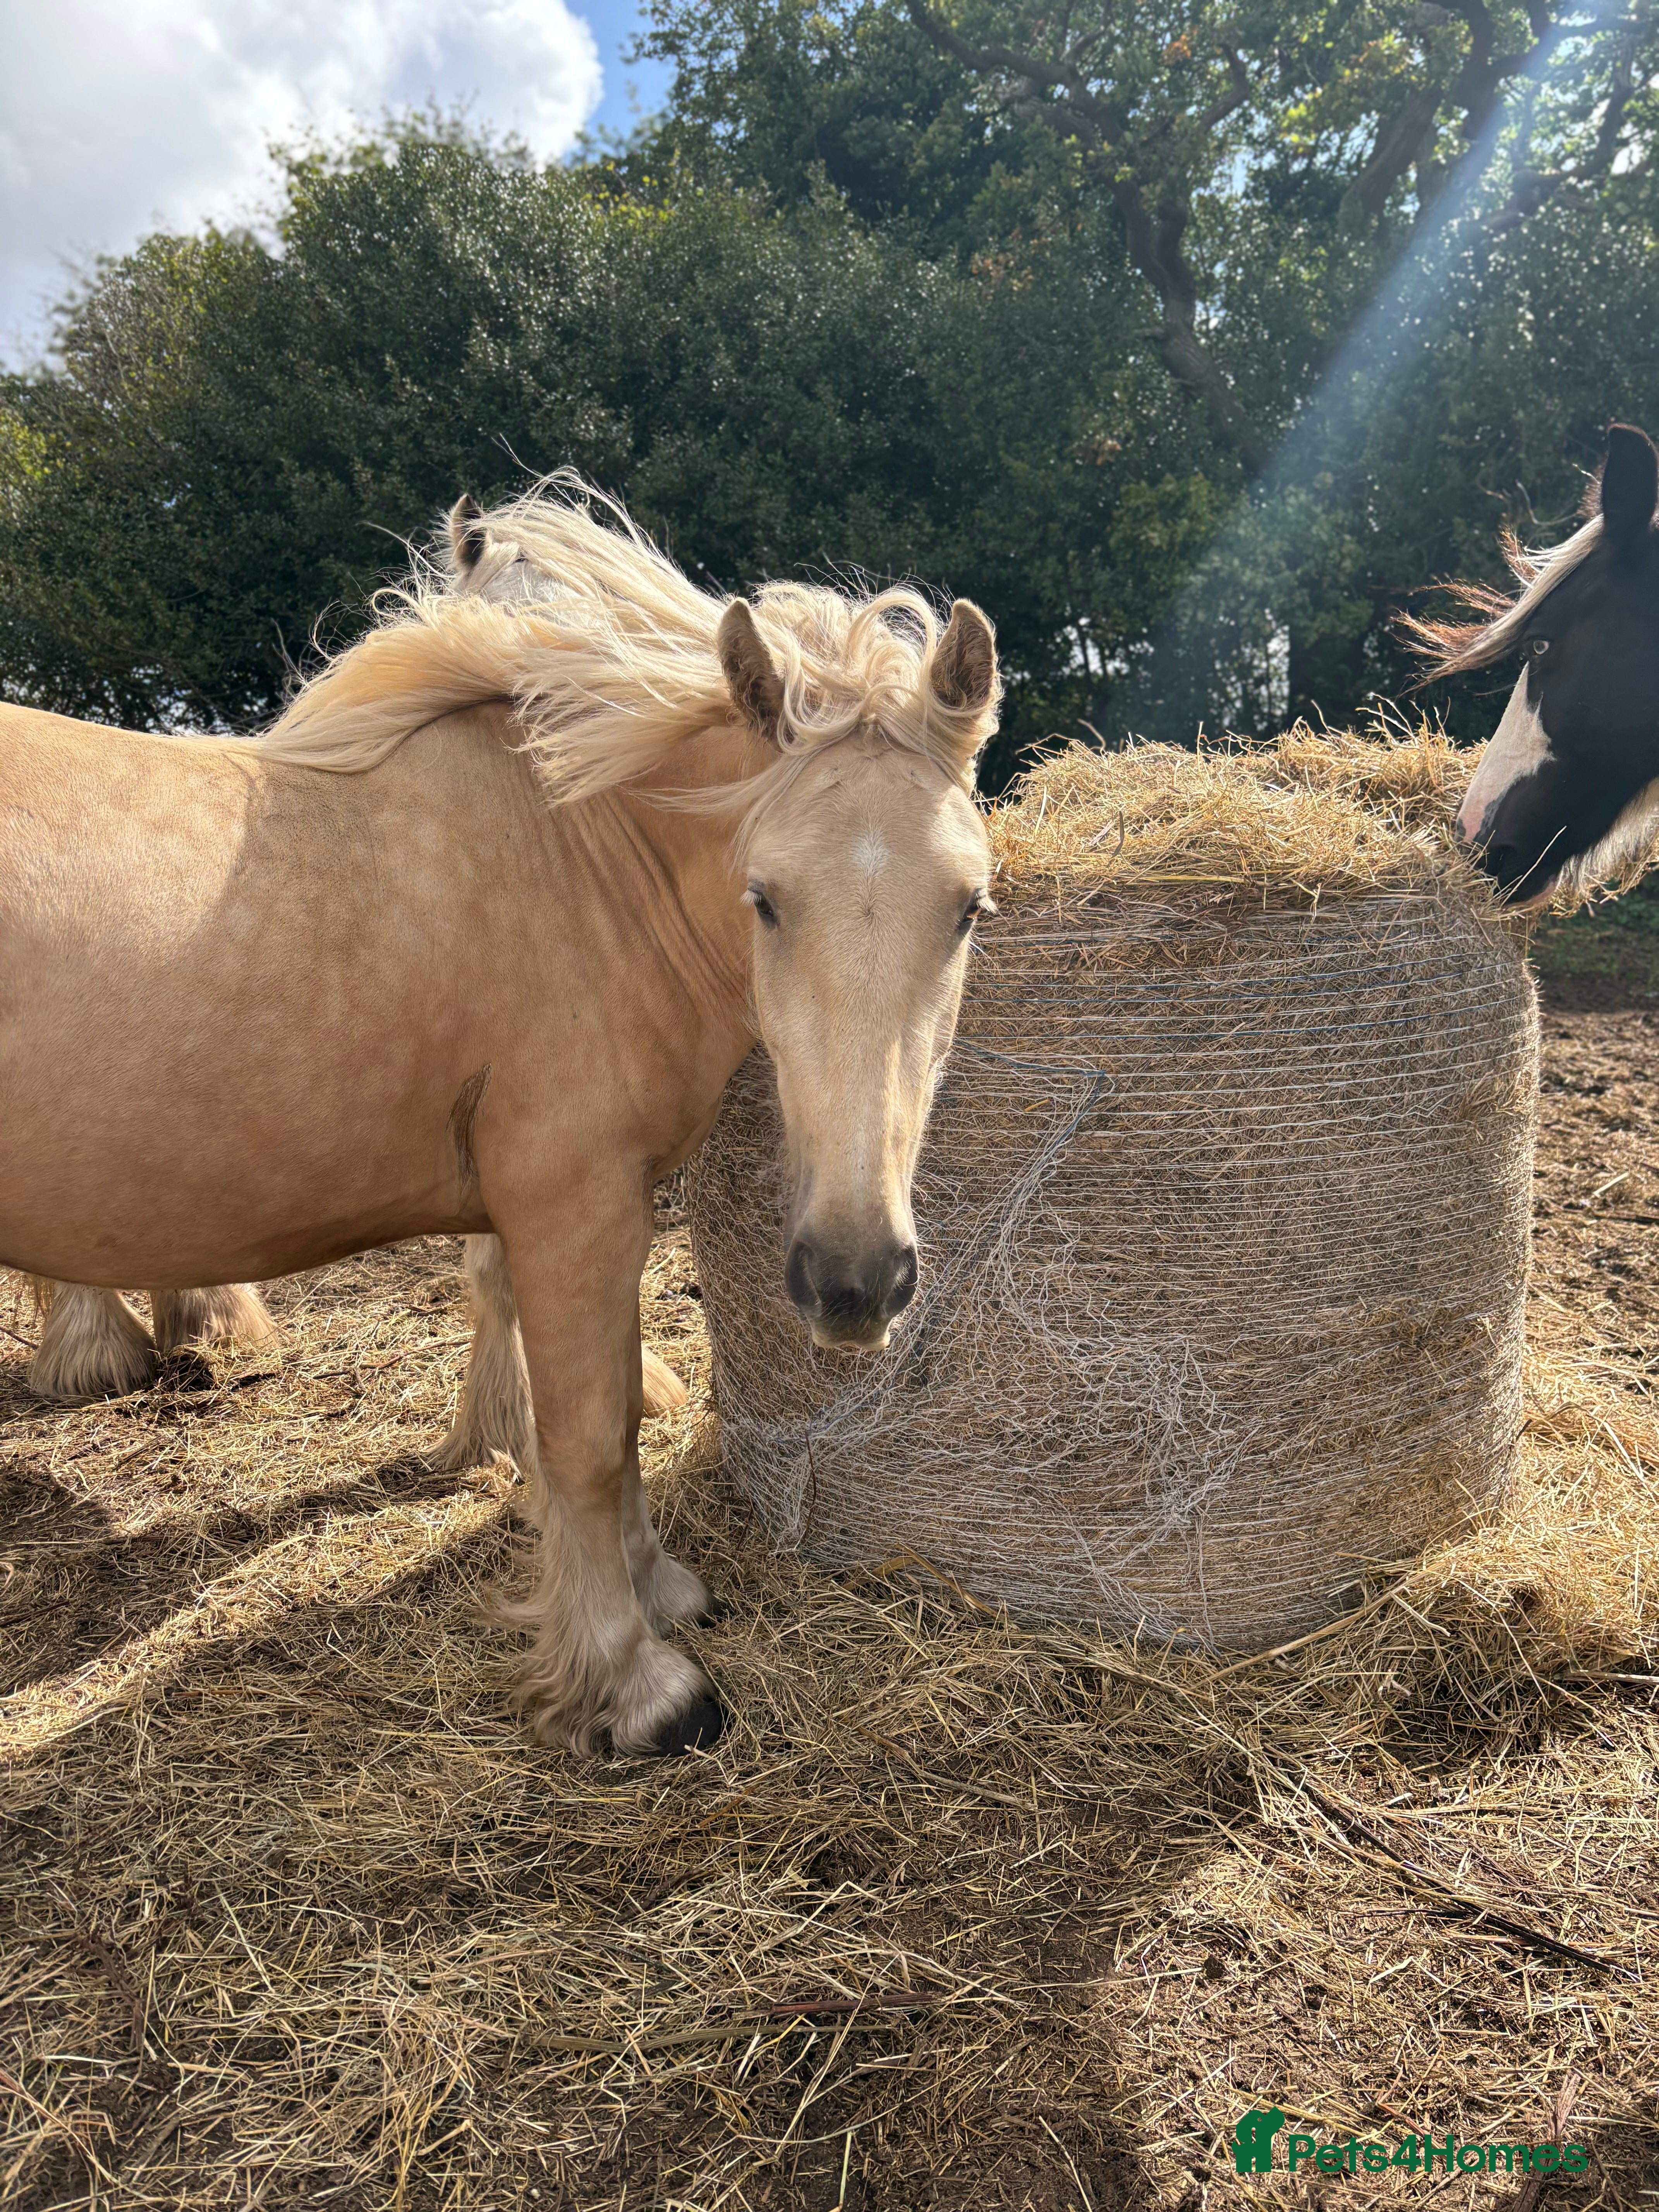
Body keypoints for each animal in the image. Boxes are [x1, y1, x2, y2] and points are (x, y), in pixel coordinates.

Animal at [0, 483, 1000, 1752]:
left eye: (967, 907)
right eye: (764, 897)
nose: (855, 1281)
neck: (581, 861)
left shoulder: (596, 1215)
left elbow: (615, 1418)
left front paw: (658, 1589)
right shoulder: (570, 1208)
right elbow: (584, 1440)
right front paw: (634, 1679)